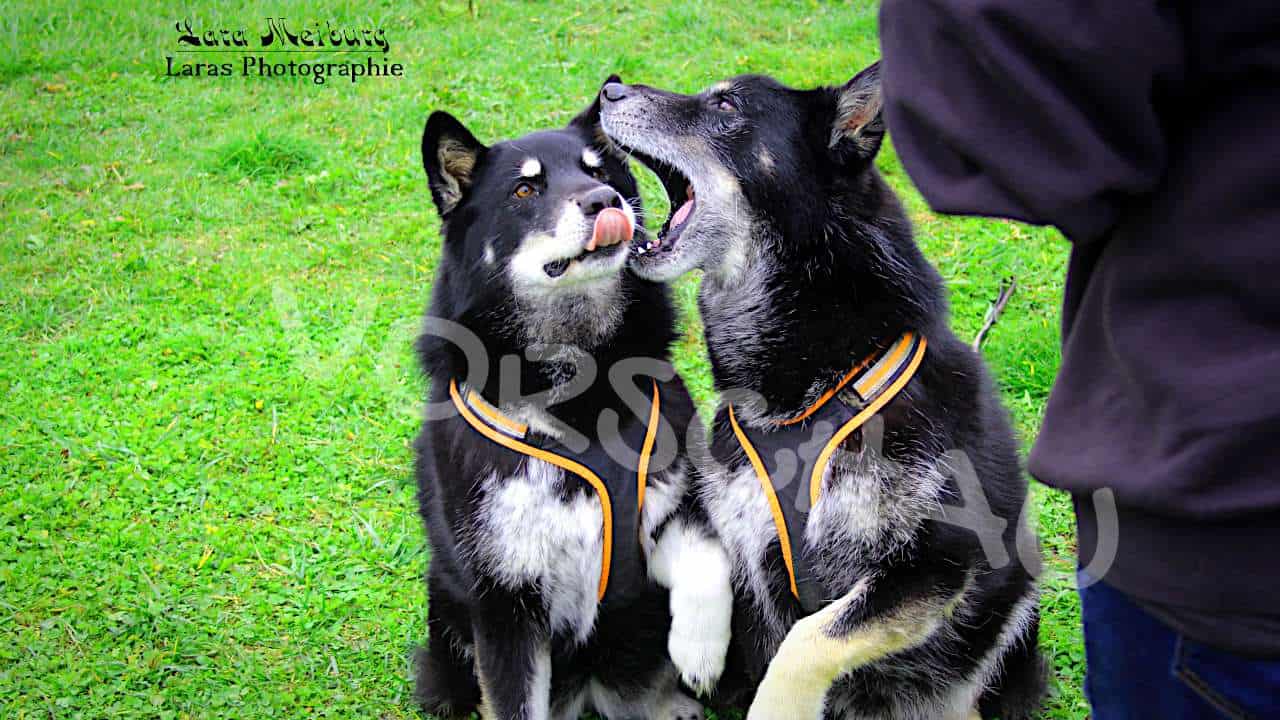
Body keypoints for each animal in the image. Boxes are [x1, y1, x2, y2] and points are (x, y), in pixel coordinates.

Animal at [409, 83, 732, 717]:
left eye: (599, 171)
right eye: (525, 190)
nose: (606, 200)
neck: (582, 384)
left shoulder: (673, 503)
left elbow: (707, 552)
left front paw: (701, 647)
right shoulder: (506, 607)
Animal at [604, 63, 1044, 717]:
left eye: (727, 106)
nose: (608, 89)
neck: (816, 388)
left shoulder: (938, 562)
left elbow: (811, 636)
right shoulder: (728, 519)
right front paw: (698, 645)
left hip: (1013, 603)